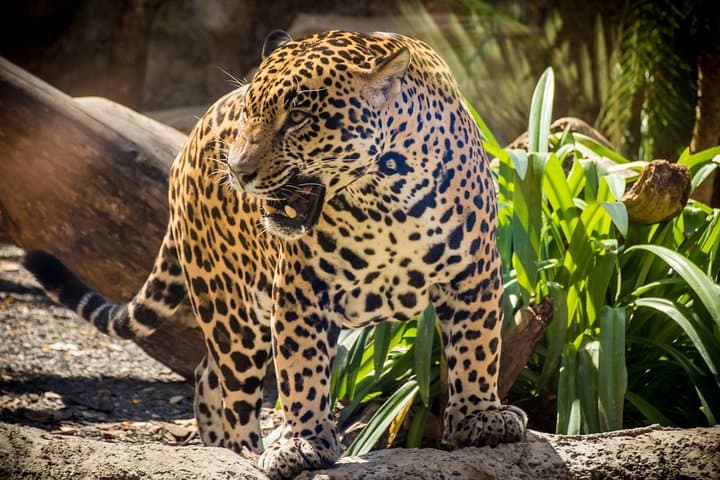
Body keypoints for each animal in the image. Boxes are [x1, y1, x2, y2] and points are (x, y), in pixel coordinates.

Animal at [23, 29, 527, 479]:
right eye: (250, 112)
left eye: (299, 117)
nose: (237, 170)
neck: (384, 199)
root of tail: (188, 142)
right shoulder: (302, 291)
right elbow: (301, 371)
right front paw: (303, 442)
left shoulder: (475, 275)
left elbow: (478, 349)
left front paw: (480, 416)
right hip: (230, 308)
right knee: (227, 383)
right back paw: (243, 450)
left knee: (207, 375)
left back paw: (225, 447)